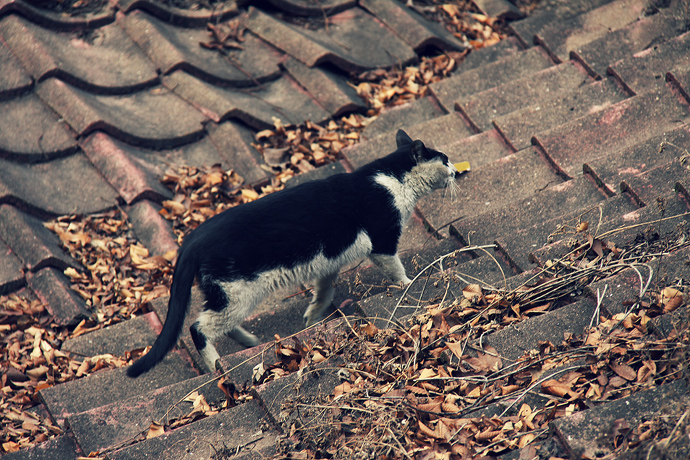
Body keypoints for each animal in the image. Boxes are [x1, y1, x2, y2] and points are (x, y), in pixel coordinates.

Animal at [129, 129, 462, 378]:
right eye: (445, 160)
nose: (457, 171)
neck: (394, 179)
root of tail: (192, 240)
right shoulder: (383, 240)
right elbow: (395, 268)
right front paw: (408, 284)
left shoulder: (330, 260)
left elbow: (324, 291)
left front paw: (312, 317)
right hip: (237, 293)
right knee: (197, 327)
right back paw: (216, 366)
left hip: (229, 296)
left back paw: (249, 341)